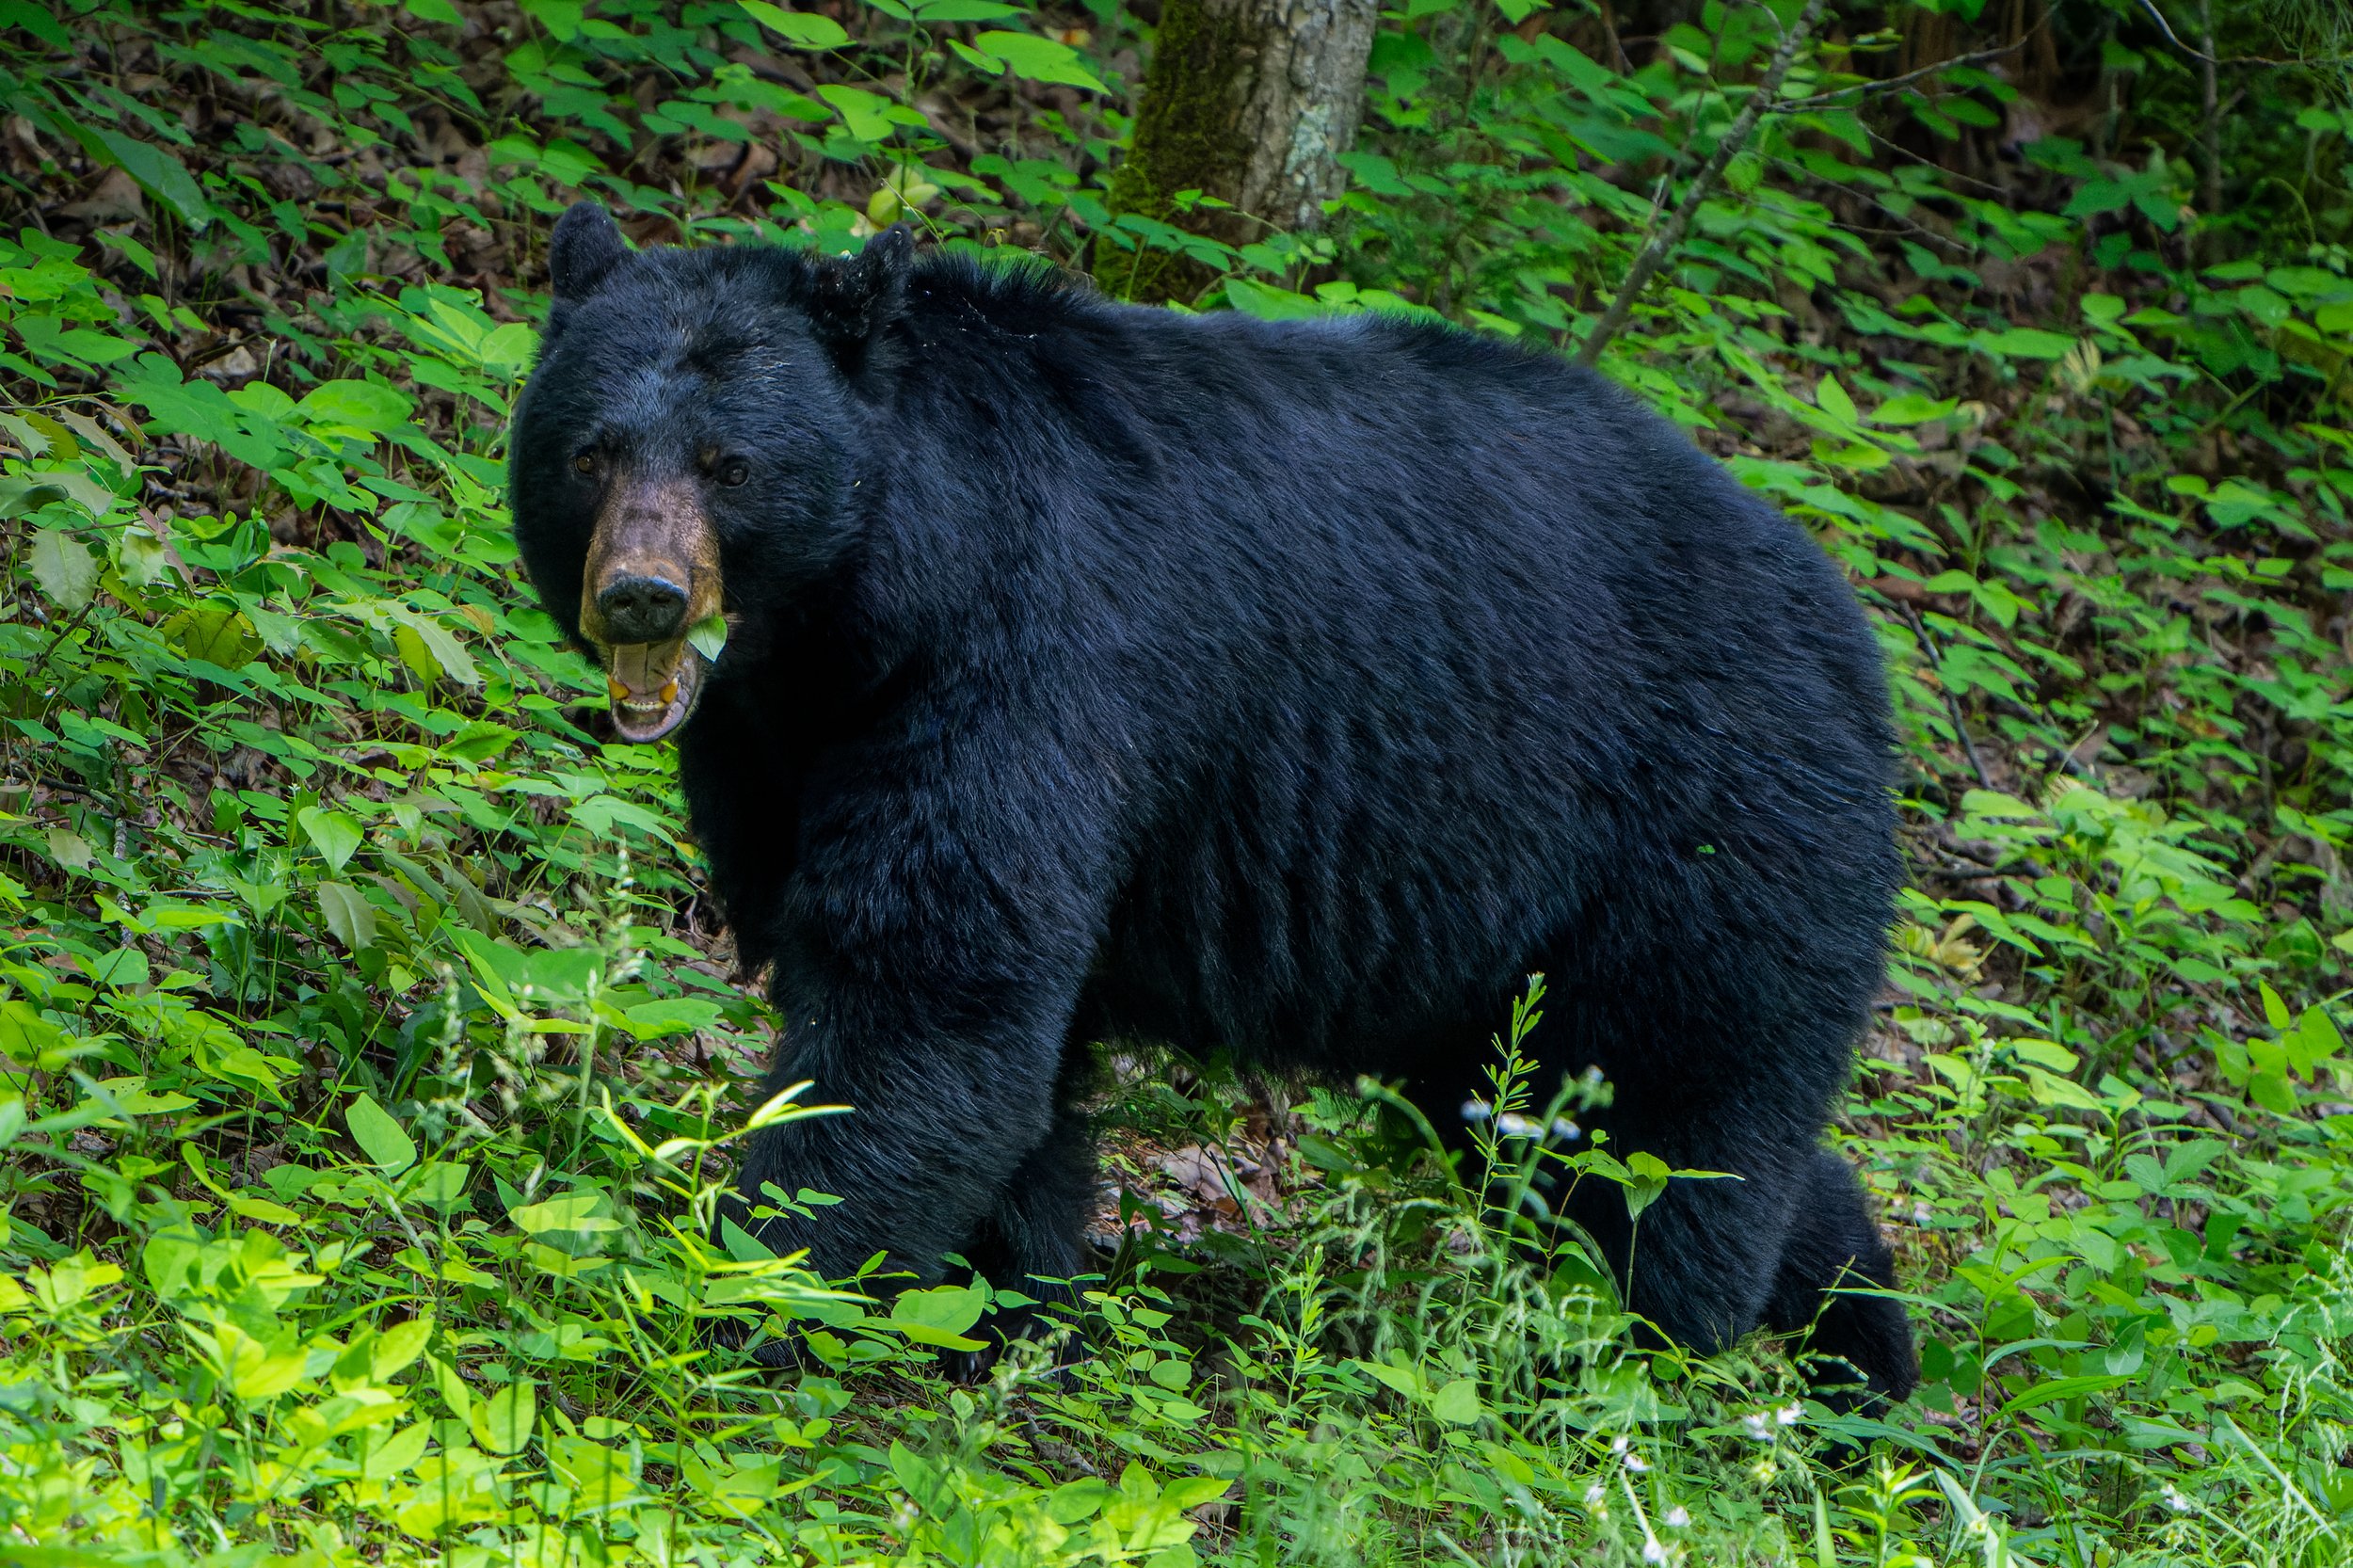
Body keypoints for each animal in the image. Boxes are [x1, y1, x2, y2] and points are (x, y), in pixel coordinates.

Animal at [507, 201, 1918, 1405]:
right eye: (589, 451)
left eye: (728, 462)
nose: (641, 594)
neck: (863, 619)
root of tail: (1852, 628)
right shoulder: (779, 748)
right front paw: (1011, 1301)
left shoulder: (1026, 670)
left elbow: (929, 991)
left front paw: (754, 1287)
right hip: (1498, 944)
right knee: (1572, 1115)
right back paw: (1861, 1337)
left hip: (1703, 824)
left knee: (1664, 1128)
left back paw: (1640, 1353)